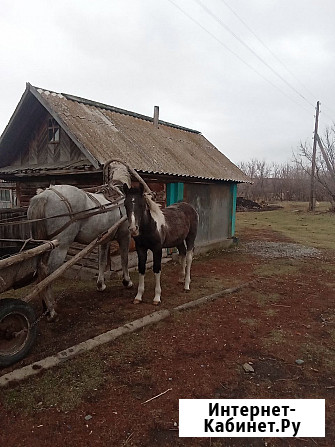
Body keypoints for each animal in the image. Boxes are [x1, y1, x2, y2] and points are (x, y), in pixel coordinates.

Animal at [27, 166, 133, 320]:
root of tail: (43, 196)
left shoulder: (105, 239)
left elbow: (102, 261)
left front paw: (100, 285)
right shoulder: (125, 236)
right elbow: (124, 259)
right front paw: (127, 281)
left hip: (42, 246)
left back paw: (46, 307)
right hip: (60, 247)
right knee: (47, 272)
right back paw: (51, 311)